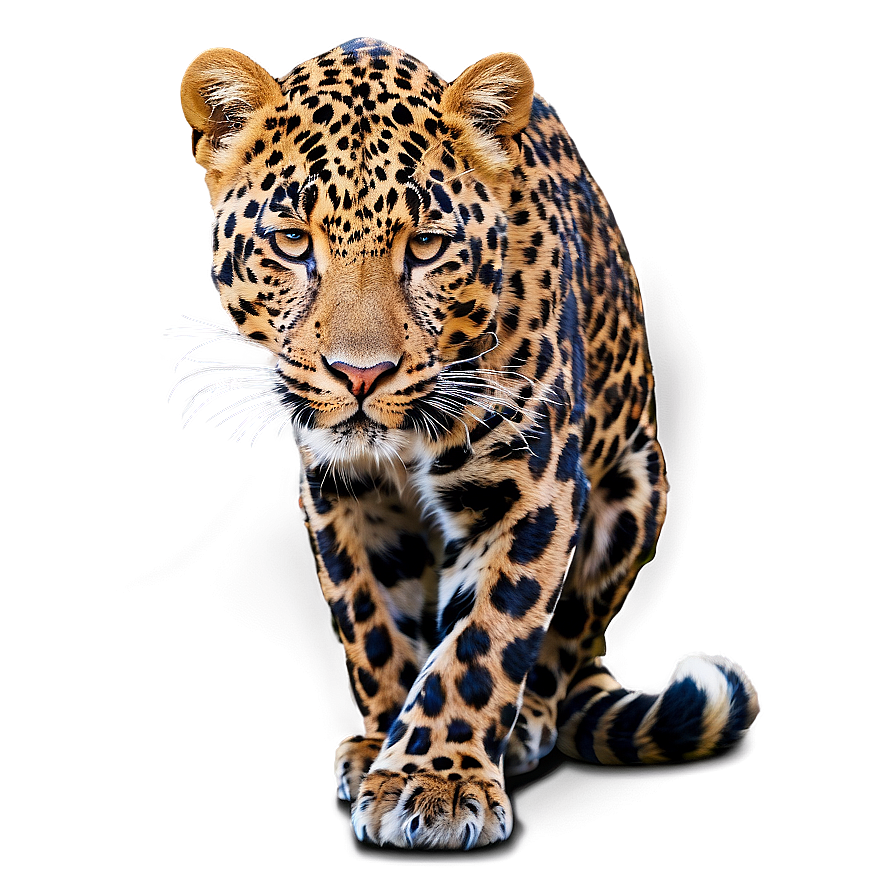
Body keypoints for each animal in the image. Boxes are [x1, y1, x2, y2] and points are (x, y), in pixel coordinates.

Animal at [177, 37, 758, 850]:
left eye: (425, 246)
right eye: (292, 242)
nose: (361, 374)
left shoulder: (530, 488)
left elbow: (485, 635)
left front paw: (438, 782)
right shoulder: (342, 490)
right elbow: (374, 625)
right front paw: (384, 746)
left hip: (635, 492)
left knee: (563, 645)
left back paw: (528, 724)